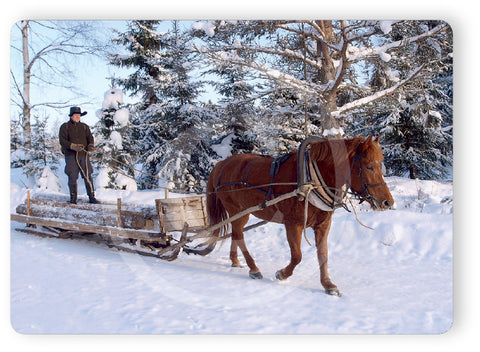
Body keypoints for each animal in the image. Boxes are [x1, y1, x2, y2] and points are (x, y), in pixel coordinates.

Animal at [206, 136, 394, 296]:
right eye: (368, 166)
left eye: (381, 165)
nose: (388, 202)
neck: (311, 181)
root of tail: (221, 164)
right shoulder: (293, 224)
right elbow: (297, 256)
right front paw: (282, 273)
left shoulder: (323, 224)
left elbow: (323, 255)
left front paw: (328, 284)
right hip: (236, 210)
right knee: (239, 235)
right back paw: (253, 268)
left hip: (242, 212)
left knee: (236, 234)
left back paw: (235, 261)